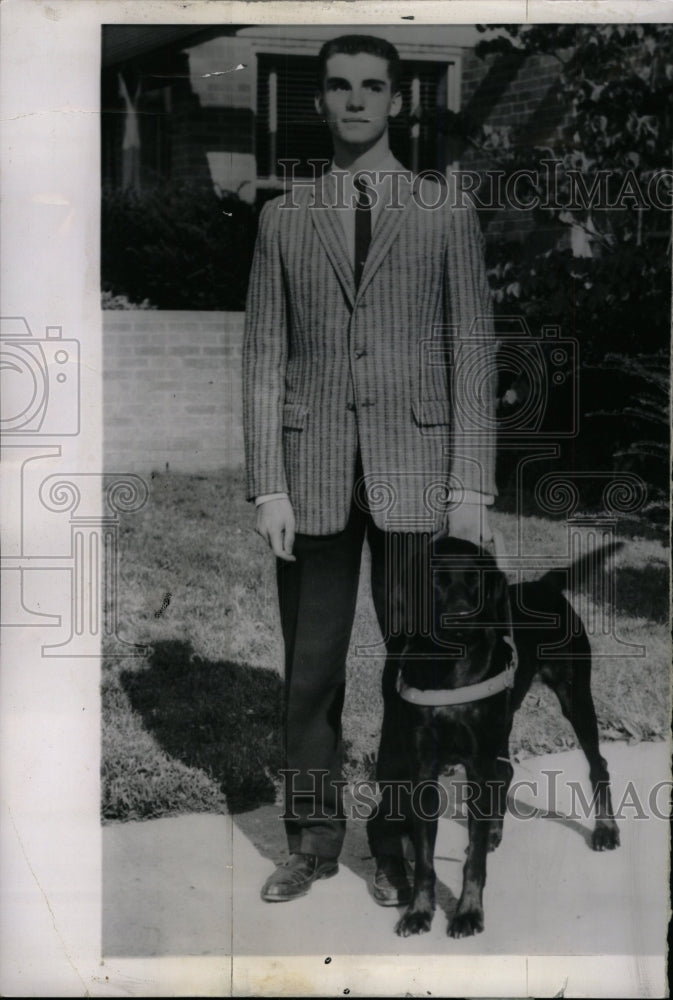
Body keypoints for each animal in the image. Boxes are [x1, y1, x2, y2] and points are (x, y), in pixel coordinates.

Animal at [394, 540, 620, 936]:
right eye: (436, 579)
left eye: (476, 579)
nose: (460, 617)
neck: (450, 666)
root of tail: (544, 585)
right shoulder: (423, 770)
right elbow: (423, 859)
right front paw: (418, 911)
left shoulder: (477, 761)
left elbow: (473, 863)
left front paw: (468, 912)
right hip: (504, 719)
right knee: (505, 773)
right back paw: (494, 832)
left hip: (575, 697)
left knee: (598, 764)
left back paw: (605, 830)